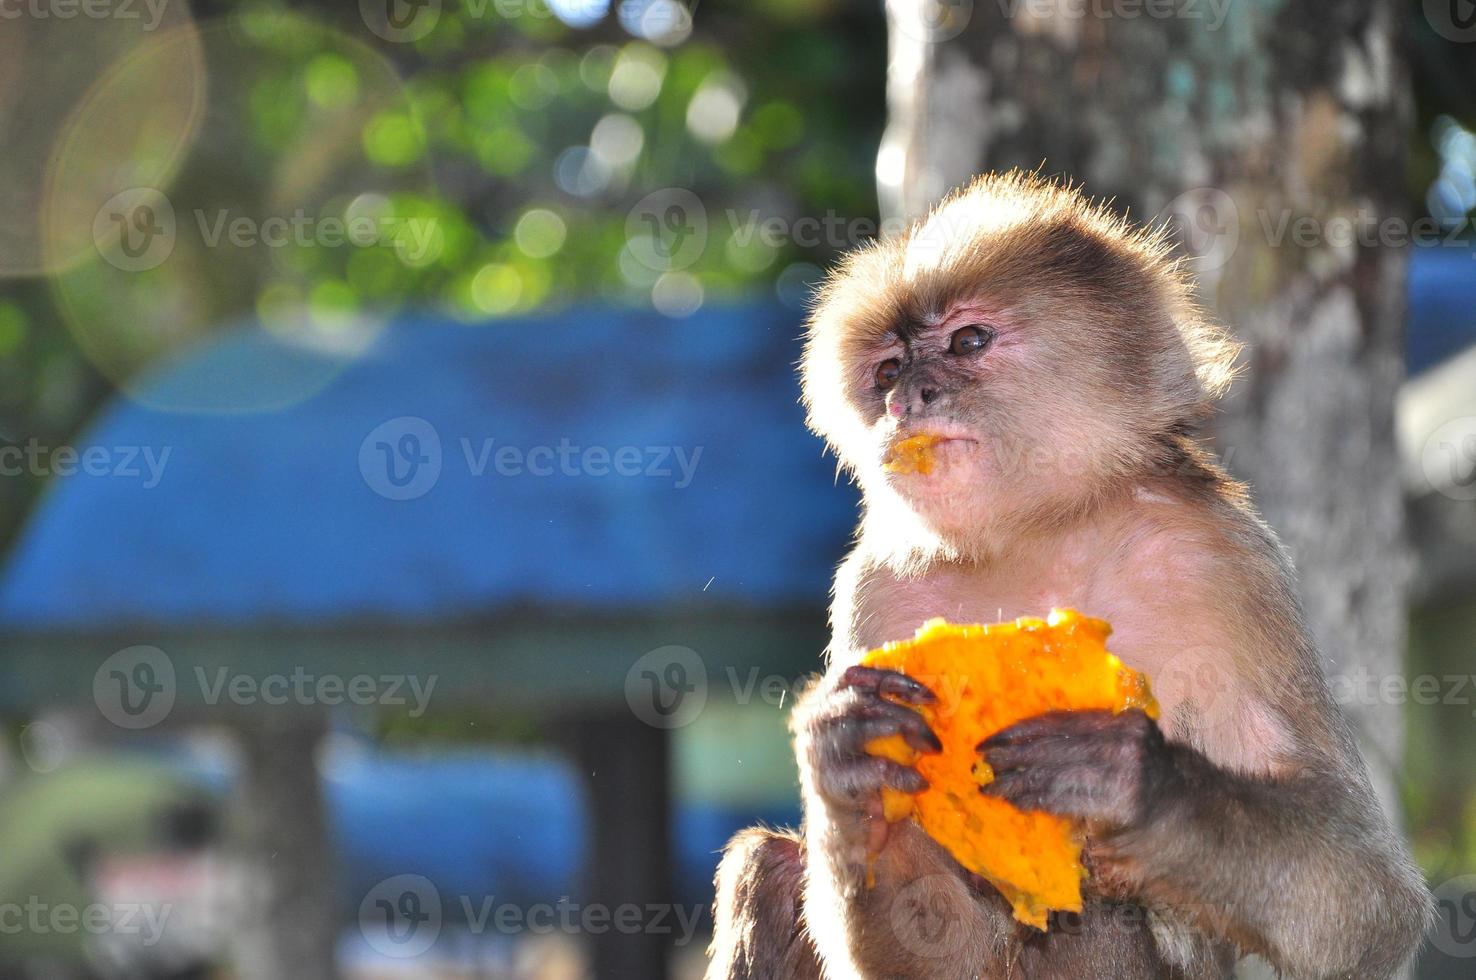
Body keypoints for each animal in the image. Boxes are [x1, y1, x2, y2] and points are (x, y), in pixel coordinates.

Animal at [708, 171, 1434, 974]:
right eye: (888, 371)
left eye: (968, 341)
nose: (906, 400)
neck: (1043, 532)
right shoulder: (879, 586)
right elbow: (945, 948)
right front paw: (847, 772)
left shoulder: (1220, 558)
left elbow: (1372, 903)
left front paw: (1140, 785)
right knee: (770, 863)